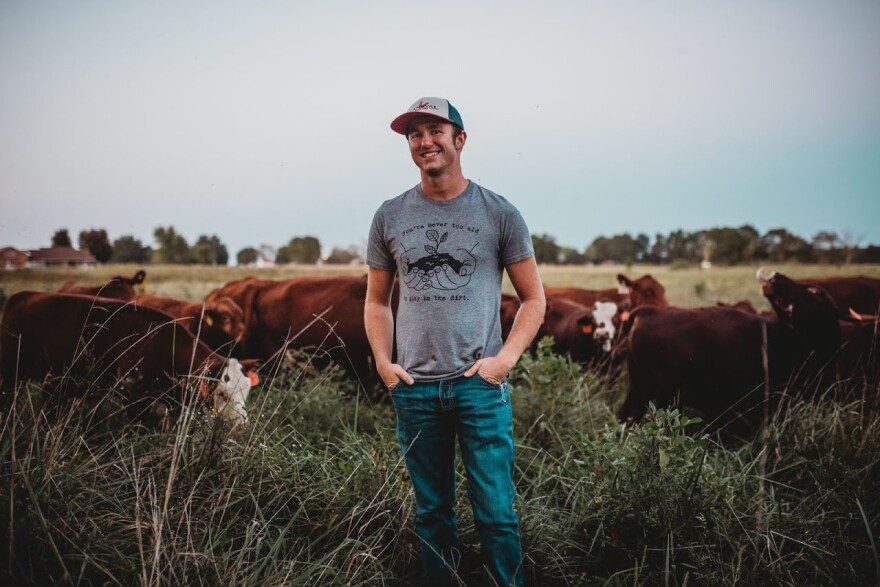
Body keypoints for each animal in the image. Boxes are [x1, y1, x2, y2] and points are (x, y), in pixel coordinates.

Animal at [0, 292, 258, 422]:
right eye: (222, 393)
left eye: (247, 390)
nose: (240, 424)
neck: (162, 344)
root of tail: (21, 296)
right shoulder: (134, 398)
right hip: (11, 377)